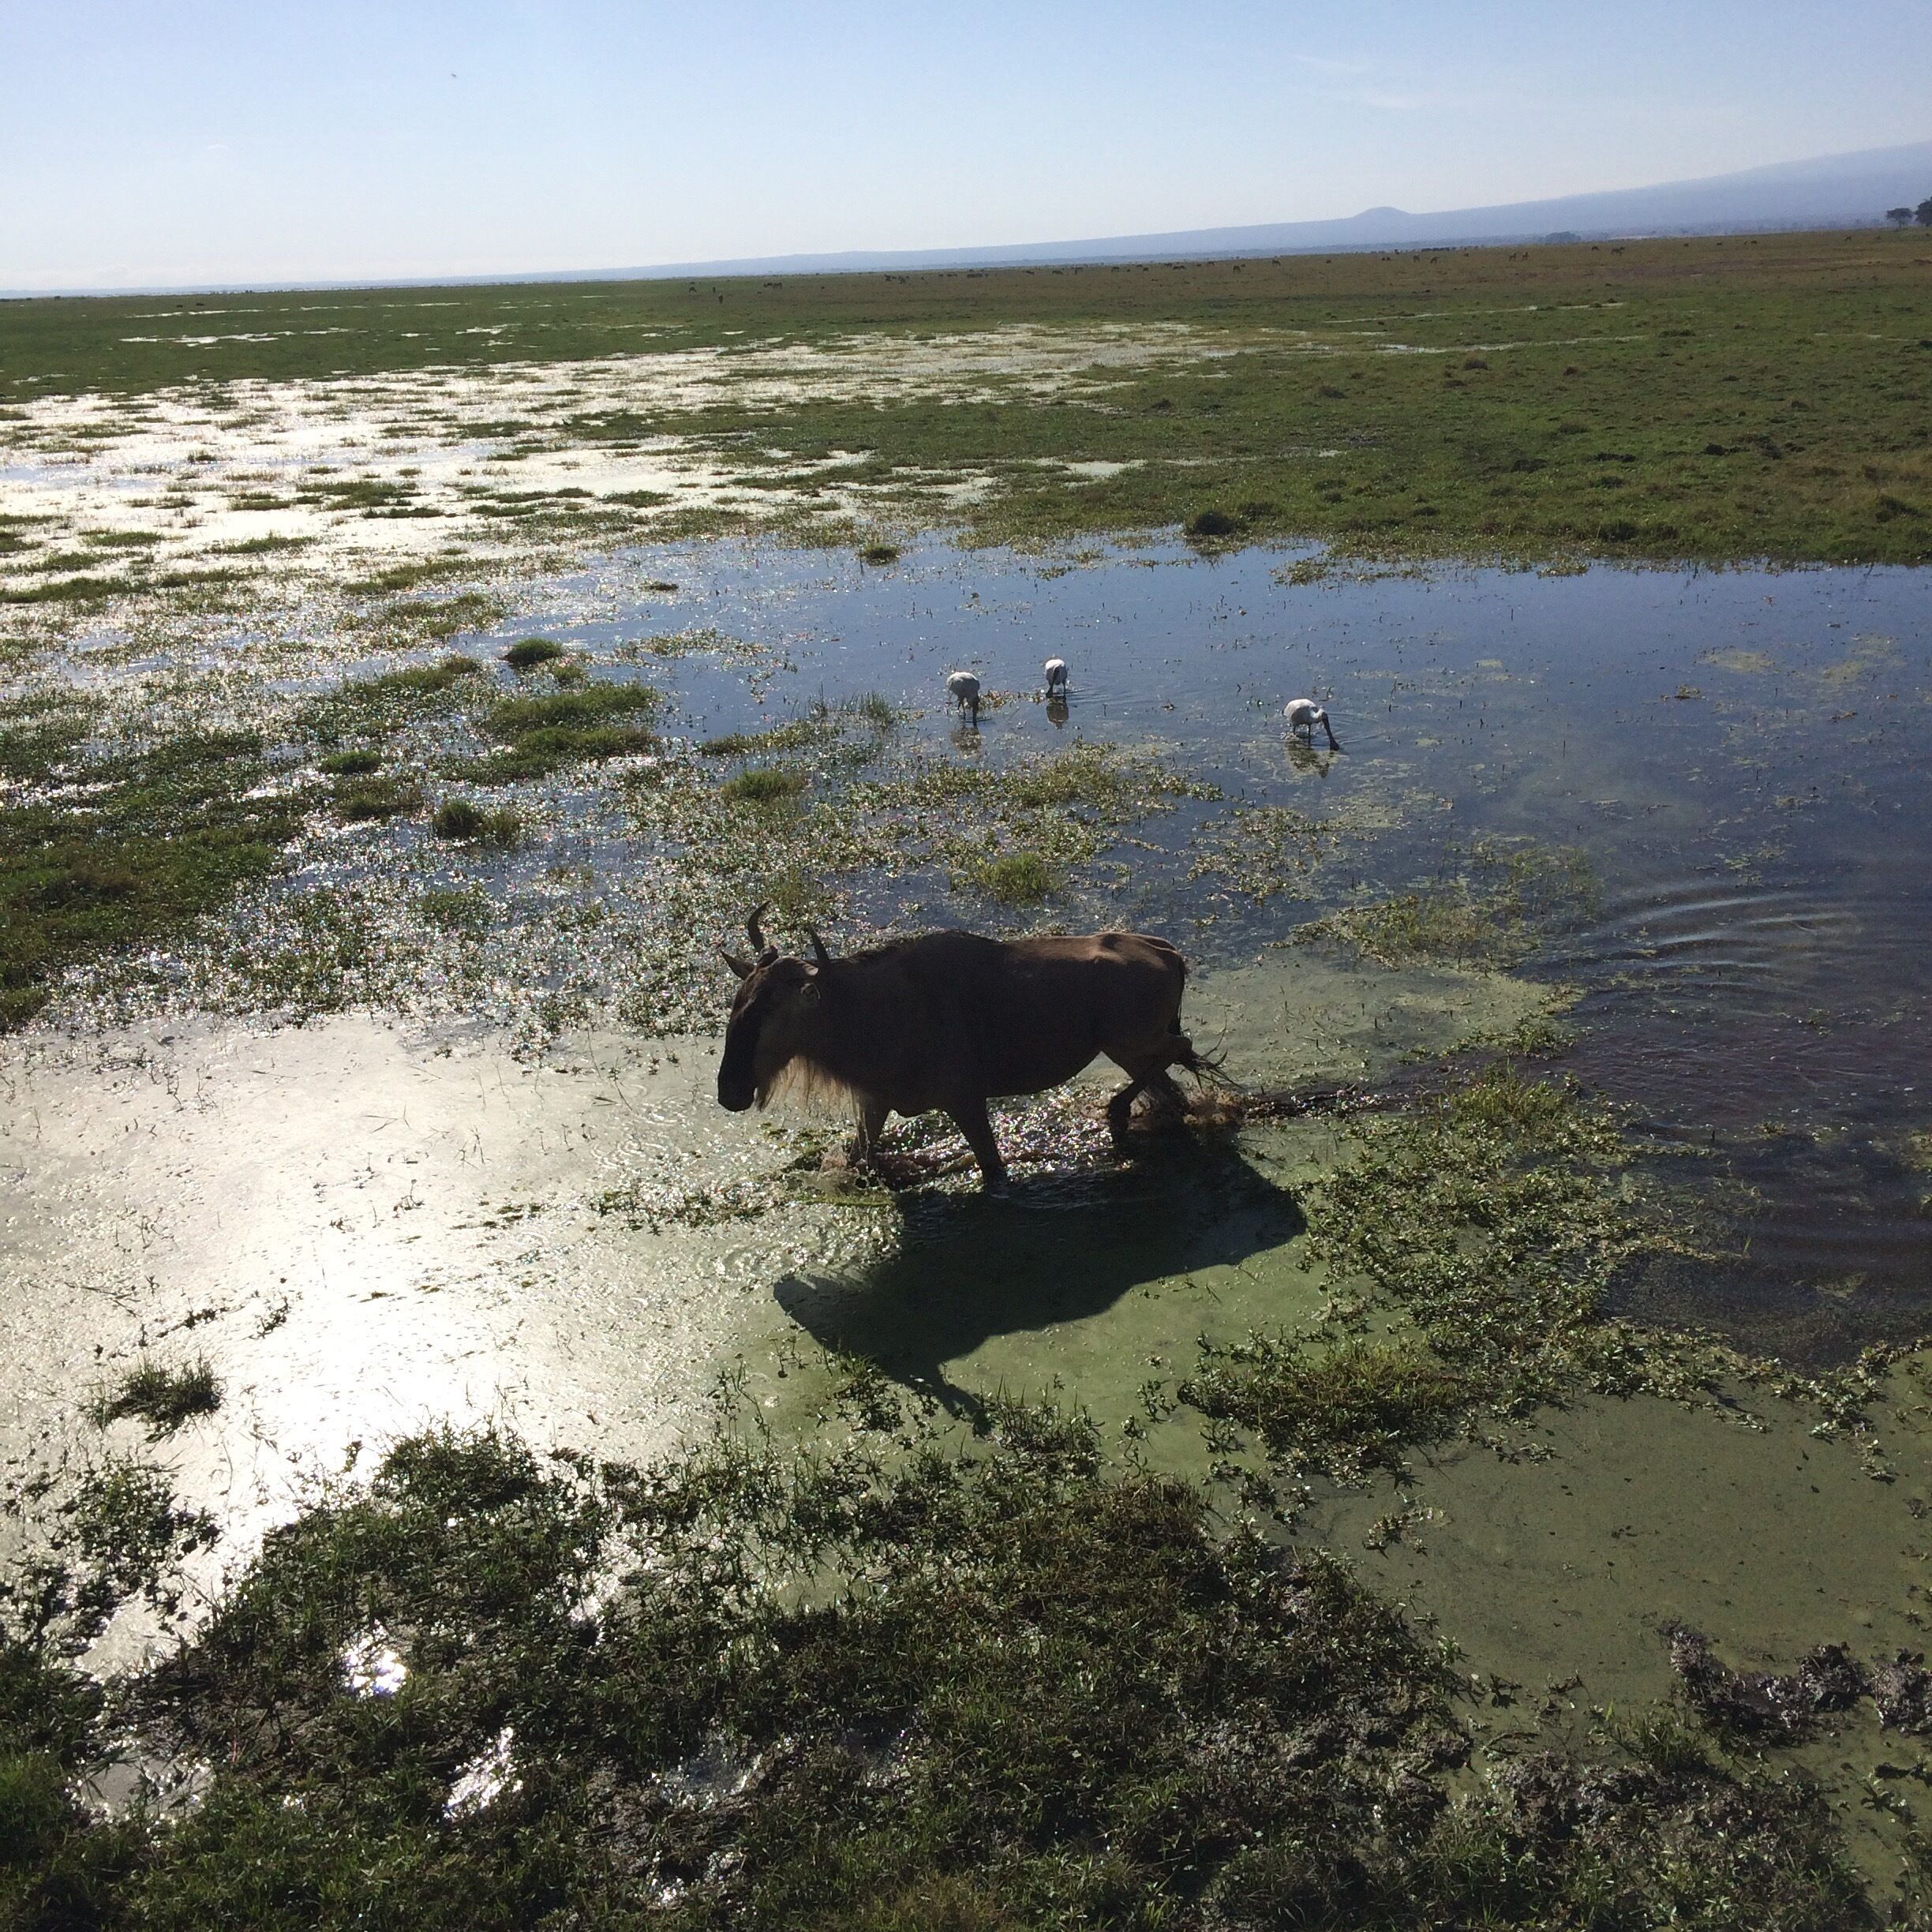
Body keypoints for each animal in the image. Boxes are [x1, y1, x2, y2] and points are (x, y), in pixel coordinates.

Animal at [717, 906, 1203, 1189]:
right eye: (737, 1002)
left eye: (769, 1010)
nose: (729, 1092)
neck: (866, 1011)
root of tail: (1169, 952)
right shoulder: (875, 1103)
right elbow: (859, 1157)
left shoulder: (965, 1101)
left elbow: (993, 1170)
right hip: (1127, 1048)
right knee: (1172, 1082)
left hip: (1130, 1040)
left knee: (1181, 1045)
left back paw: (1116, 1111)